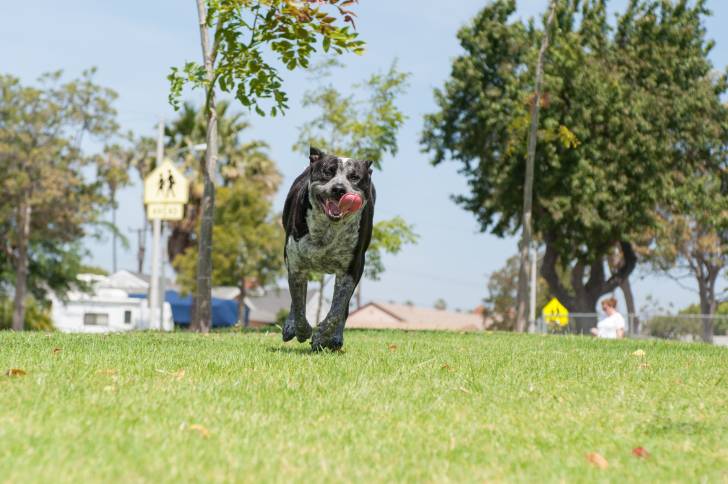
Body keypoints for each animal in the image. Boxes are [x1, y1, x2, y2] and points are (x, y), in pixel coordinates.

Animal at [282, 146, 376, 350]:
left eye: (354, 177)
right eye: (328, 172)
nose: (339, 189)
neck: (328, 229)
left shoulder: (351, 271)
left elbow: (337, 310)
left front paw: (321, 336)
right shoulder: (295, 265)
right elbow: (299, 304)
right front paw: (301, 330)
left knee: (344, 309)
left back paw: (335, 339)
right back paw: (290, 328)